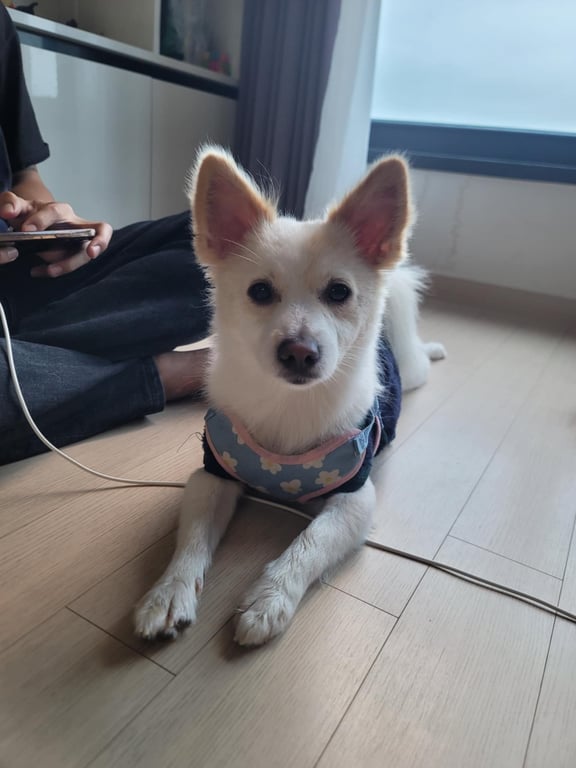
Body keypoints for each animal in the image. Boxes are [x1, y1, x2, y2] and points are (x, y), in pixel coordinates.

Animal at [134, 147, 445, 646]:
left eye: (339, 292)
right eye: (259, 291)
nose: (299, 351)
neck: (288, 404)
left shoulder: (355, 500)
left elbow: (310, 542)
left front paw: (271, 597)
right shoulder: (212, 474)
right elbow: (193, 539)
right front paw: (169, 591)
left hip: (410, 372)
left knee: (420, 361)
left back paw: (433, 349)